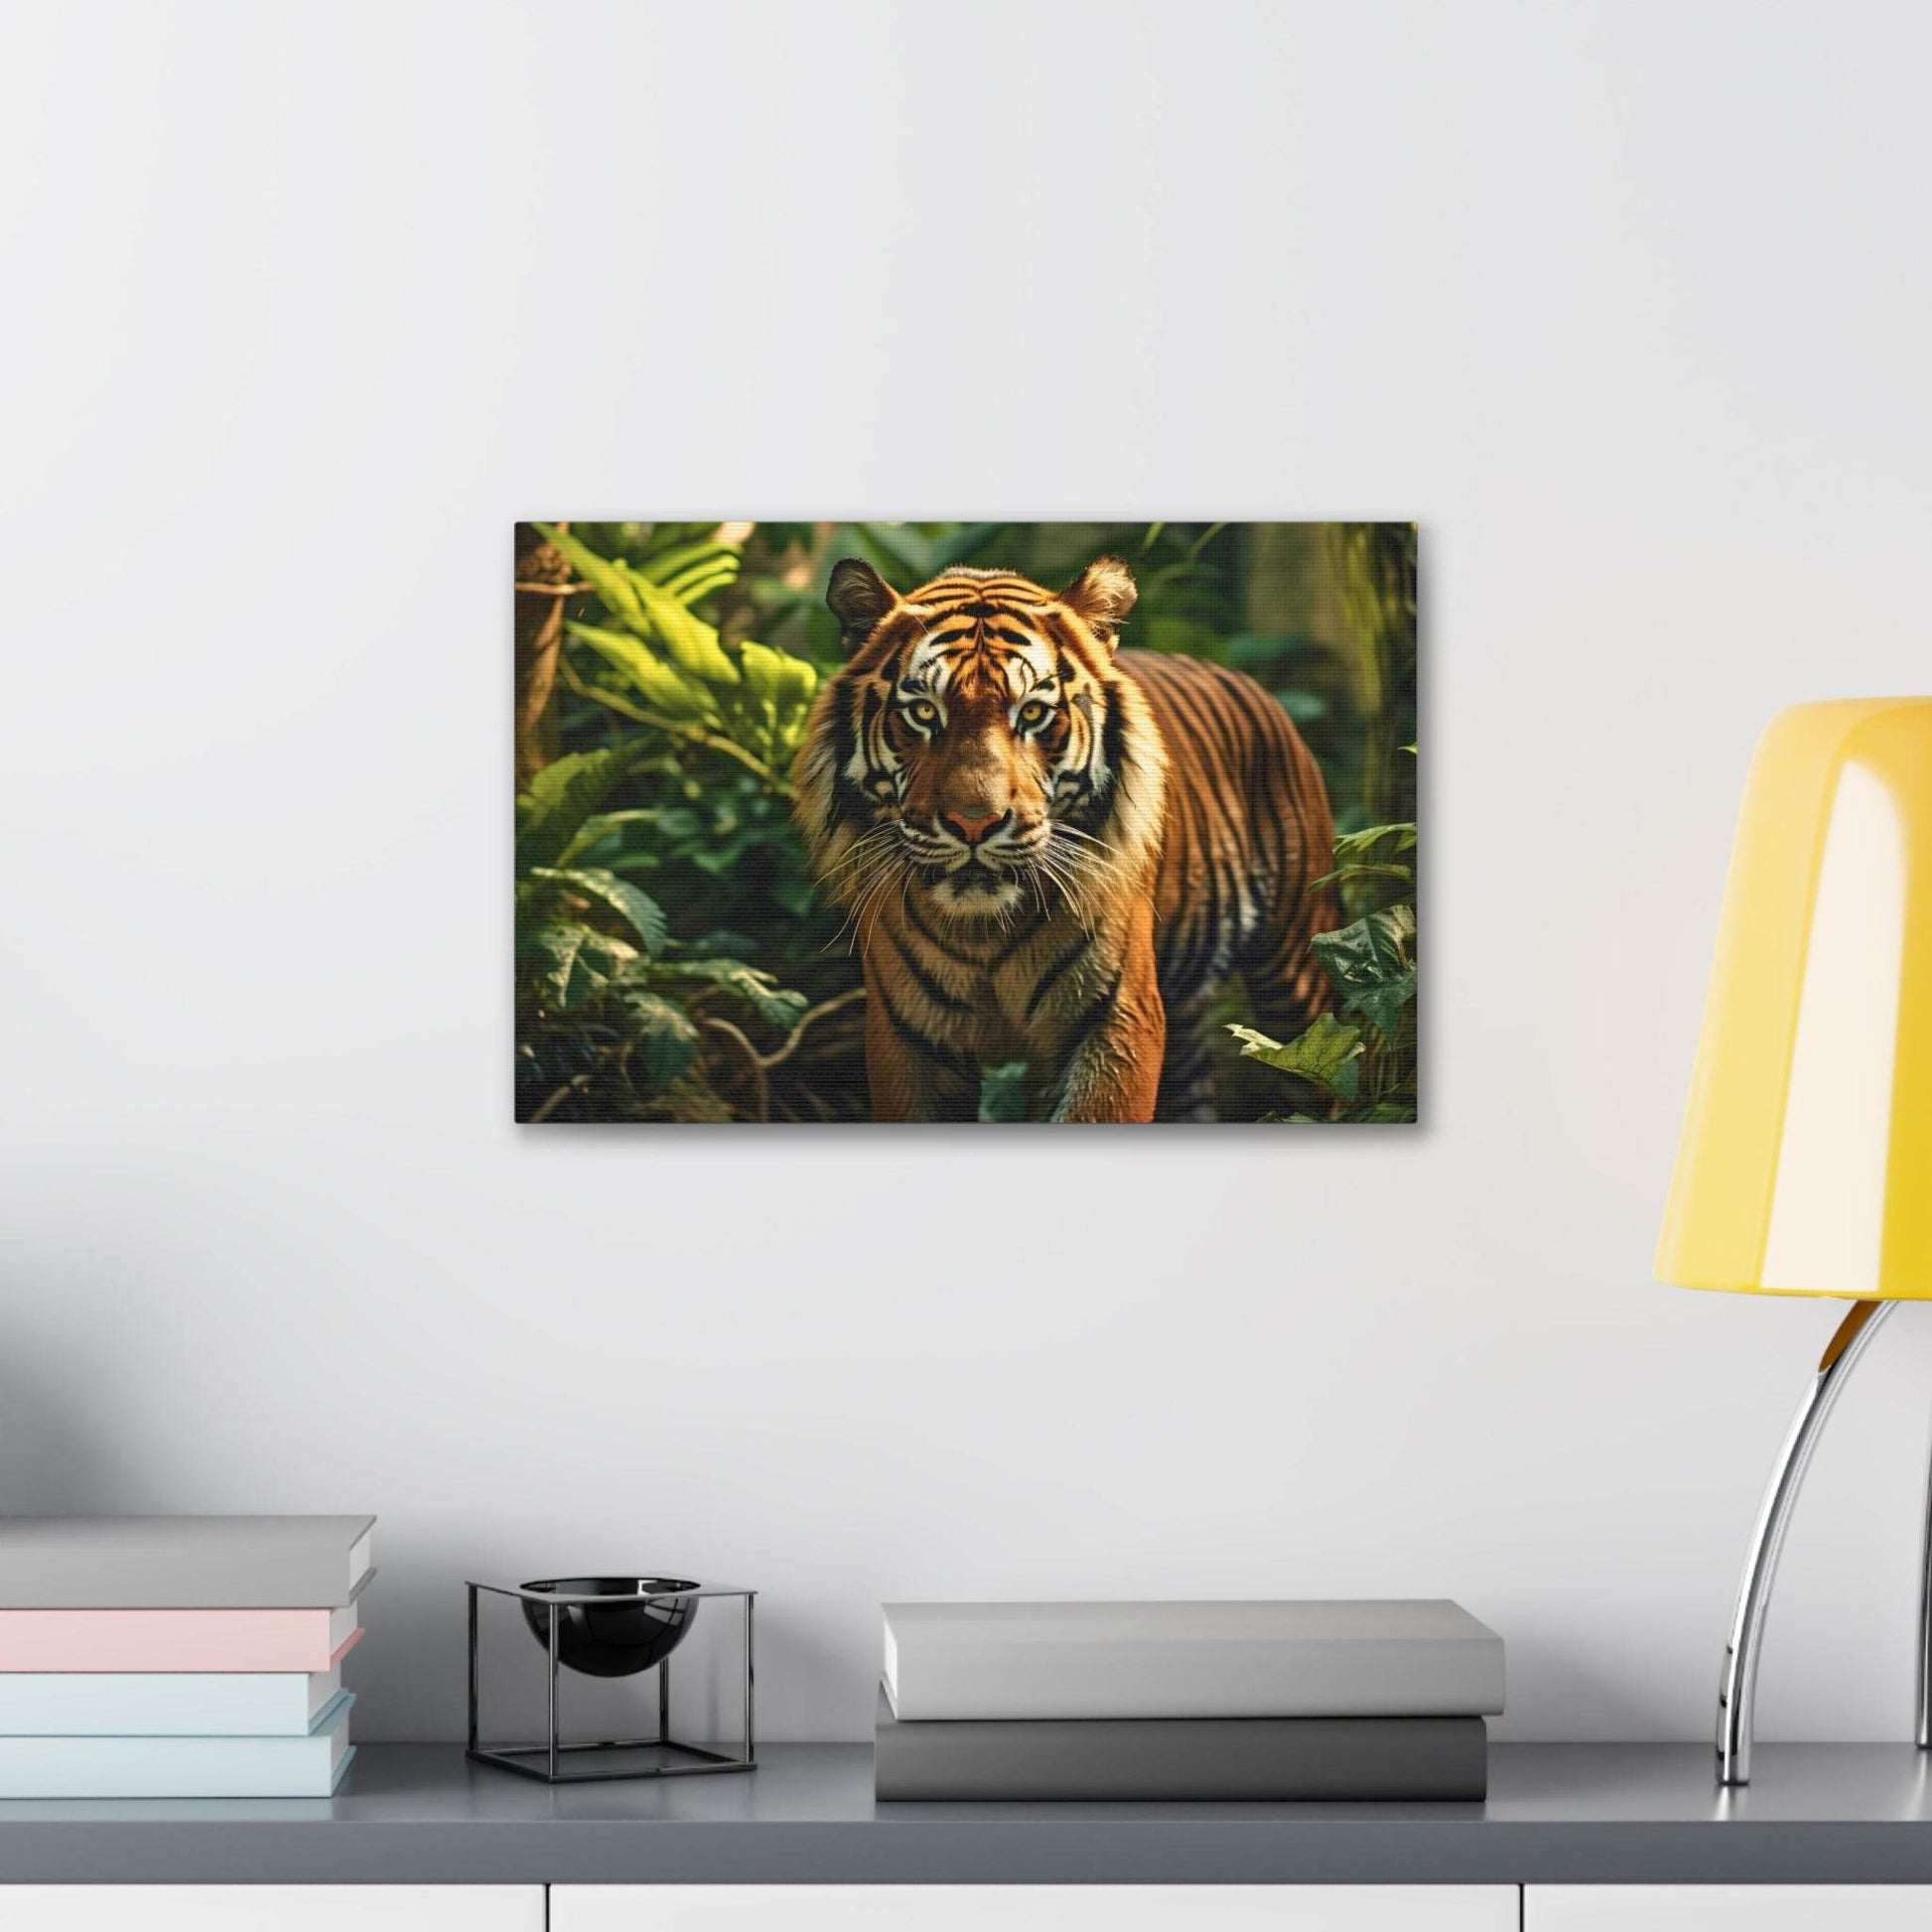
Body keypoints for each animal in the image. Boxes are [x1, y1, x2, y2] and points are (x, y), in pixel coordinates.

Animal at [792, 554, 1340, 1122]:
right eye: (923, 713)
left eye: (1032, 713)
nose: (974, 823)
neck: (983, 933)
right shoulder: (905, 1036)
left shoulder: (1117, 1017)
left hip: (1298, 968)